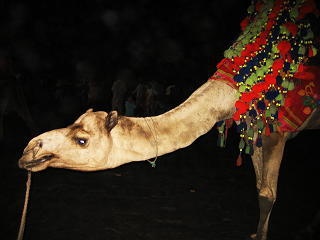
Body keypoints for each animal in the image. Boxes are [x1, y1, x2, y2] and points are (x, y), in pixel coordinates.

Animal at [18, 0, 320, 240]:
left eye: (82, 140)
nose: (30, 149)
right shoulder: (255, 130)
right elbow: (259, 188)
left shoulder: (276, 131)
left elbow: (267, 193)